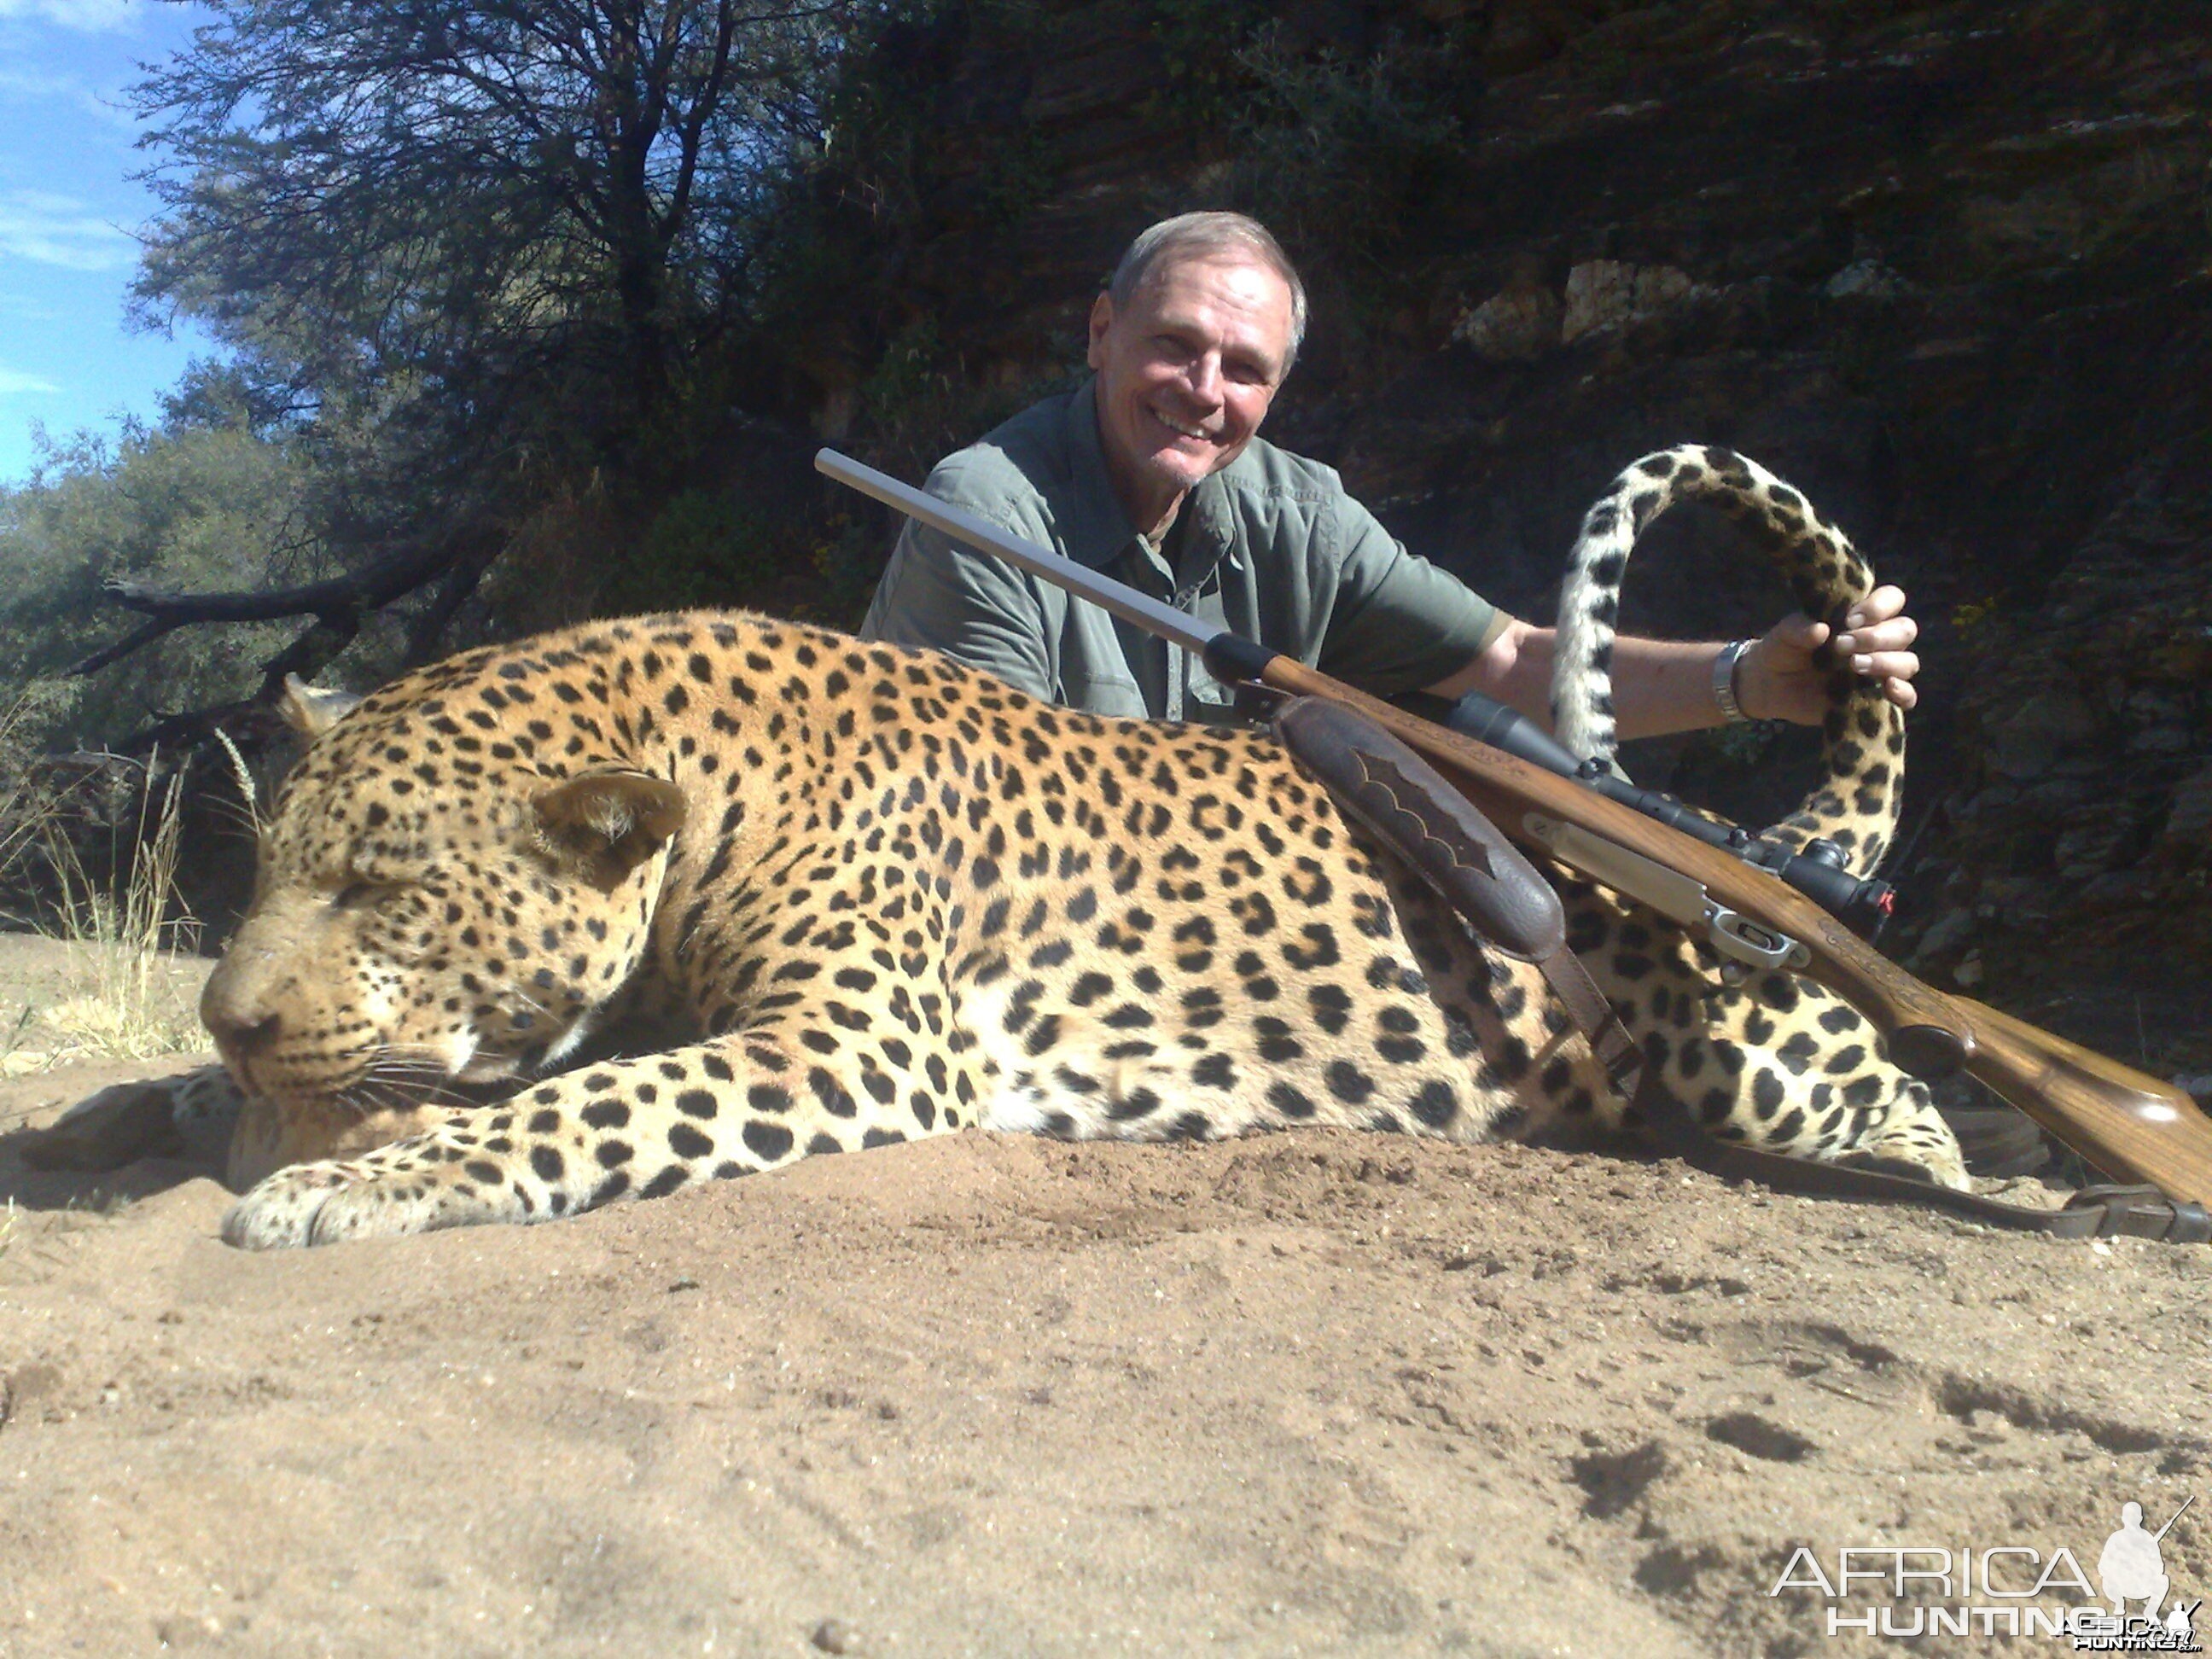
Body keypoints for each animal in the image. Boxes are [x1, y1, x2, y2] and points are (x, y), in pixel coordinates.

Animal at [47, 442, 1955, 1247]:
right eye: (263, 875)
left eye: (381, 886)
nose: (229, 1014)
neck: (701, 785)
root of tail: (1769, 842)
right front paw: (145, 1104)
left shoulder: (858, 1041)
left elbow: (584, 1101)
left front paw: (340, 1182)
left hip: (1760, 1060)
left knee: (1909, 1101)